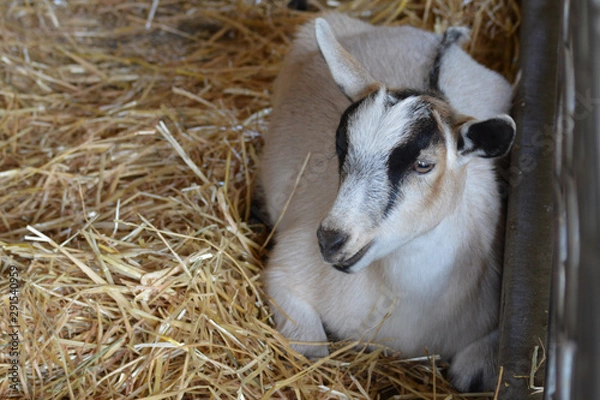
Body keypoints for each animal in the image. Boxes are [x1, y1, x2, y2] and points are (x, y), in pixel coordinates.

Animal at [258, 11, 516, 390]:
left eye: (424, 164)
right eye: (341, 146)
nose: (331, 240)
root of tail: (436, 39)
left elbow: (468, 373)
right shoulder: (287, 273)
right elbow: (310, 348)